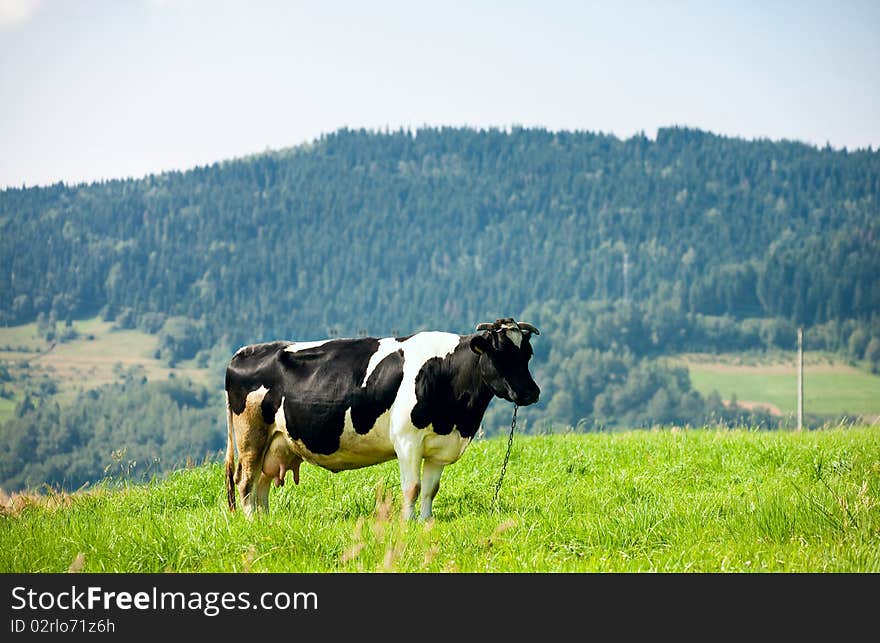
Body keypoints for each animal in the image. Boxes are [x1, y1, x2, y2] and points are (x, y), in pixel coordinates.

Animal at [223, 320, 540, 520]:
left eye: (527, 354)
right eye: (498, 354)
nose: (530, 392)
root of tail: (242, 353)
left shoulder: (438, 446)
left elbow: (431, 489)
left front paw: (426, 522)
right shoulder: (407, 441)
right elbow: (412, 488)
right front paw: (407, 523)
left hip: (276, 442)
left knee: (262, 483)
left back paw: (266, 522)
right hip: (251, 436)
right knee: (245, 482)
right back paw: (252, 522)